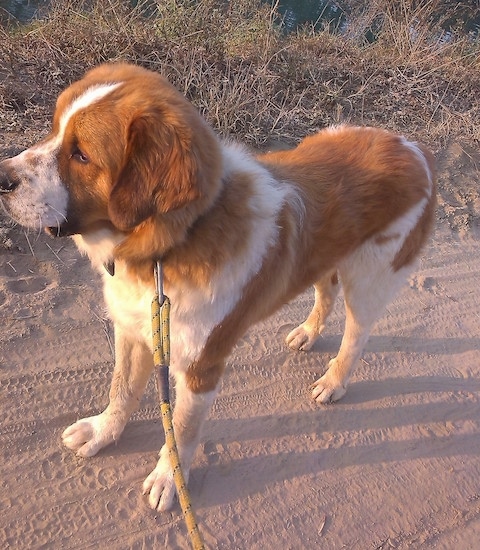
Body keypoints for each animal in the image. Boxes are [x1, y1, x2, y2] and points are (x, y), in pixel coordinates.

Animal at [0, 63, 436, 512]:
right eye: (54, 129)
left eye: (81, 155)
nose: (2, 177)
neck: (172, 245)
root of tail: (415, 149)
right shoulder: (132, 333)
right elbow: (121, 389)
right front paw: (104, 431)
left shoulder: (200, 368)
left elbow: (182, 430)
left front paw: (169, 479)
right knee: (325, 289)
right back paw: (308, 332)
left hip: (370, 279)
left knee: (356, 334)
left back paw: (334, 381)